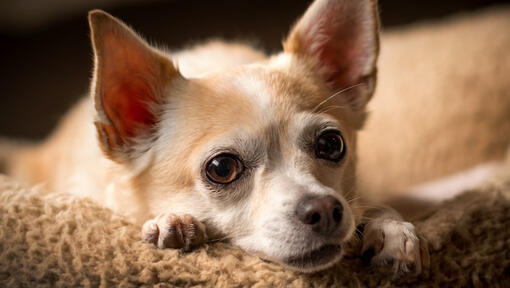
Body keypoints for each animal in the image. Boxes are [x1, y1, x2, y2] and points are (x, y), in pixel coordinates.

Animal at [3, 0, 428, 276]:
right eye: (222, 168)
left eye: (331, 144)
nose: (324, 208)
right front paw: (173, 222)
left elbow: (376, 205)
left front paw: (392, 230)